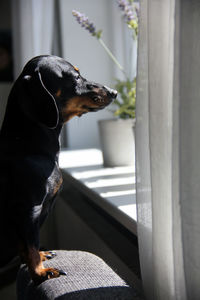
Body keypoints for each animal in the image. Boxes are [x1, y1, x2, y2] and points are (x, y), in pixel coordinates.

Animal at [0, 55, 117, 284]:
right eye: (75, 77)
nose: (114, 92)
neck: (24, 143)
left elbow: (27, 245)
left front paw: (39, 259)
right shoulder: (29, 209)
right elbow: (31, 244)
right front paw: (40, 272)